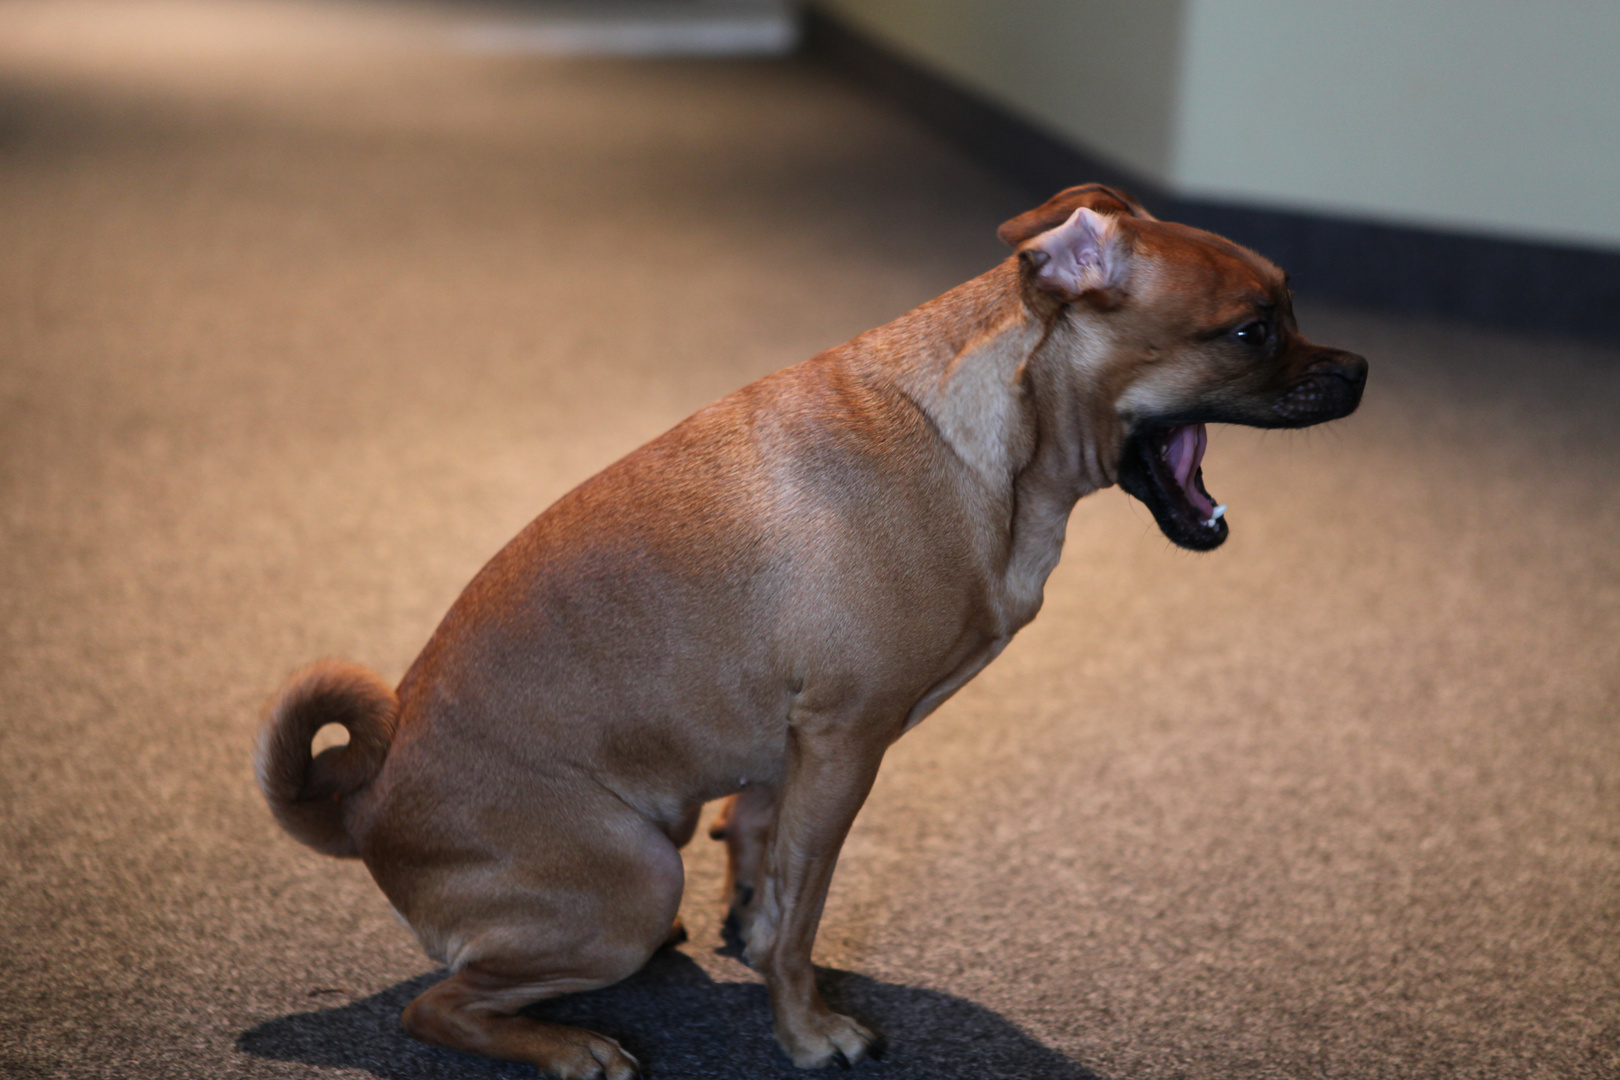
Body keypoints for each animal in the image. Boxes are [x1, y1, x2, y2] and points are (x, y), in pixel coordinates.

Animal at [255, 186, 1367, 1075]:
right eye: (1251, 331)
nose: (1360, 369)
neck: (975, 447)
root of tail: (361, 810)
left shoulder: (789, 748)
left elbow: (763, 854)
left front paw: (751, 923)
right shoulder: (843, 744)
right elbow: (802, 913)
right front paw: (805, 1029)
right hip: (631, 883)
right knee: (435, 1007)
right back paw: (568, 1046)